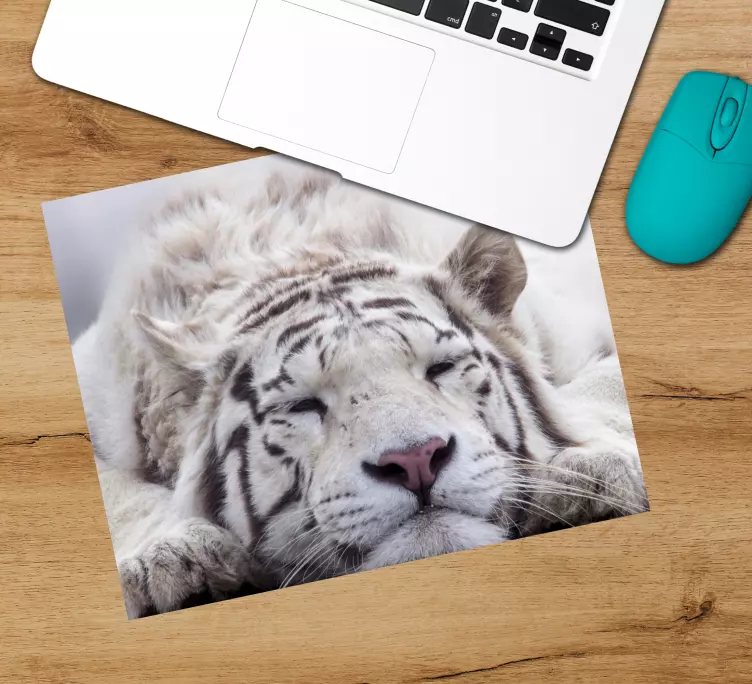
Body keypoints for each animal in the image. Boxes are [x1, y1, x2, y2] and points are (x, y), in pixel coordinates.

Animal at [71, 163, 648, 619]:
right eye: (303, 405)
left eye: (440, 368)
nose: (416, 460)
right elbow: (118, 491)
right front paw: (172, 559)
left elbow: (604, 388)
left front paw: (589, 475)